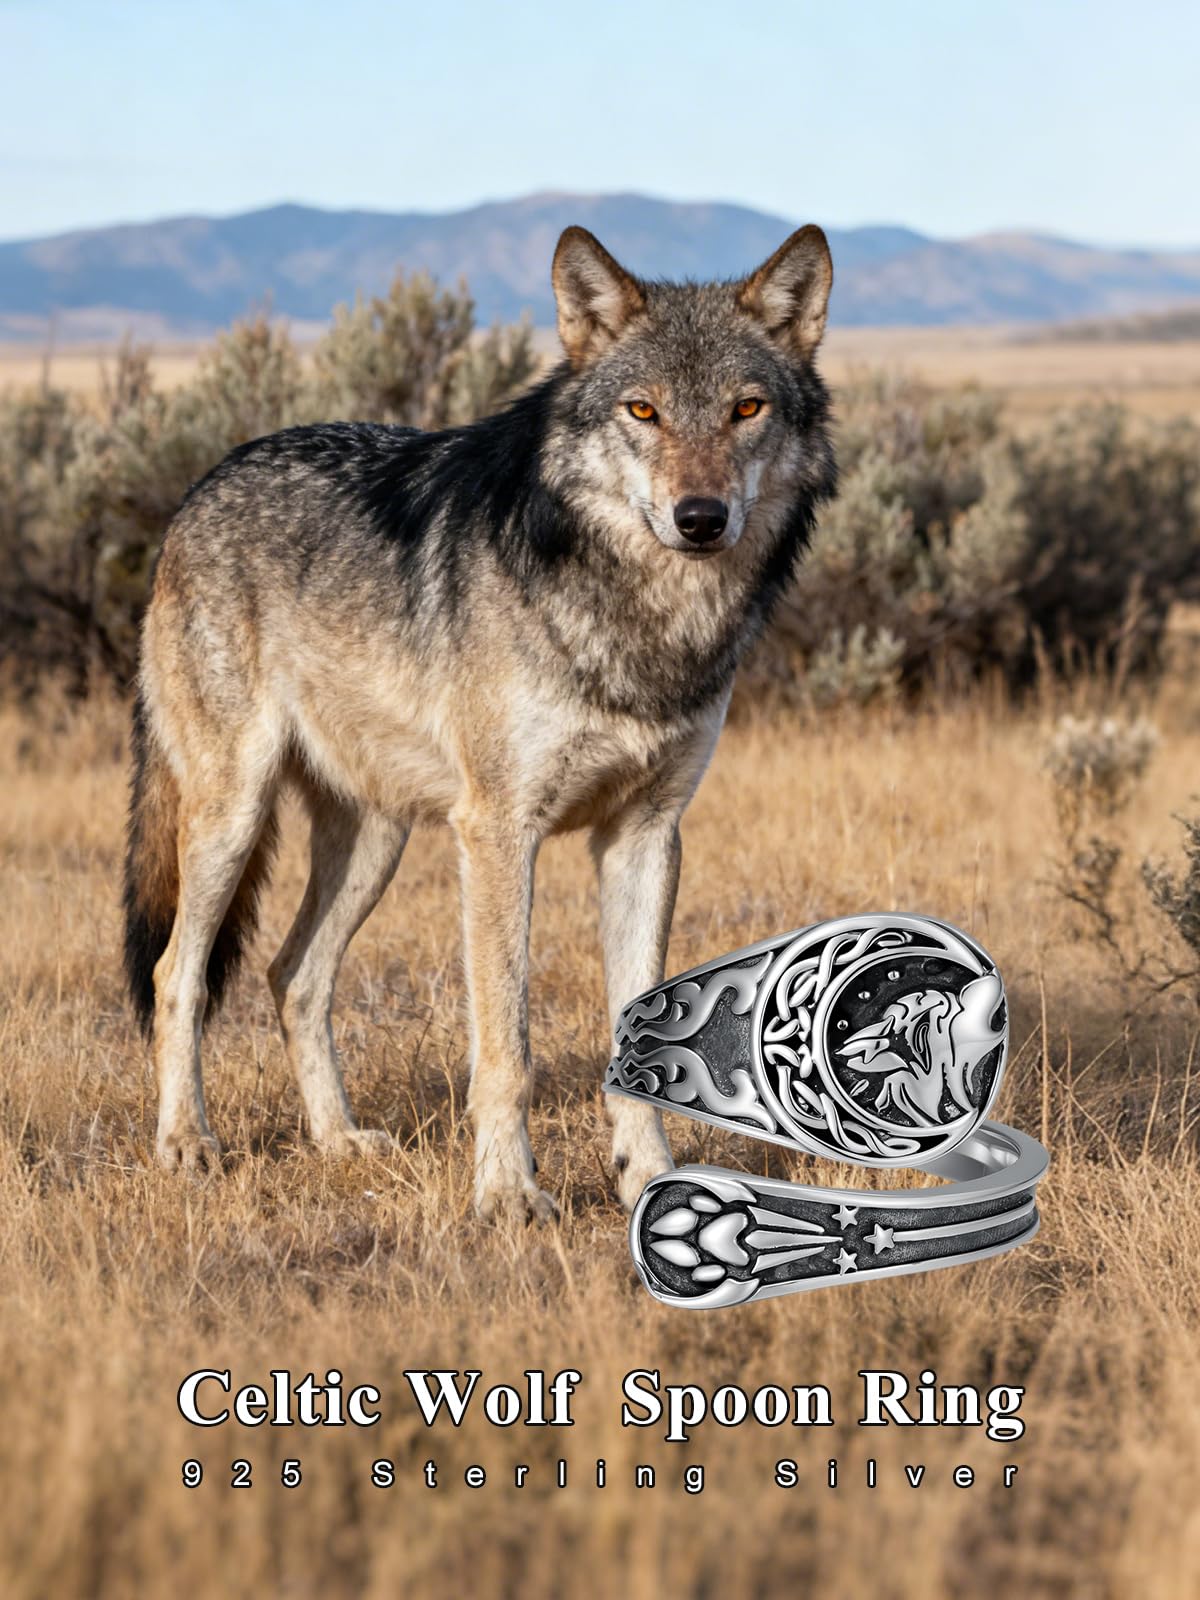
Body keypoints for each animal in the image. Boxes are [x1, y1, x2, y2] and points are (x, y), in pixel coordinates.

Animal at [122, 223, 837, 1220]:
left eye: (746, 409)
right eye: (644, 411)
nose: (701, 519)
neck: (639, 623)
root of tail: (203, 484)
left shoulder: (646, 836)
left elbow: (640, 1043)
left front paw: (647, 1179)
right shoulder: (500, 832)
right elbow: (507, 1045)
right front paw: (507, 1196)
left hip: (376, 841)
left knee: (292, 976)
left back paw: (338, 1140)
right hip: (234, 816)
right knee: (176, 977)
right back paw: (186, 1141)